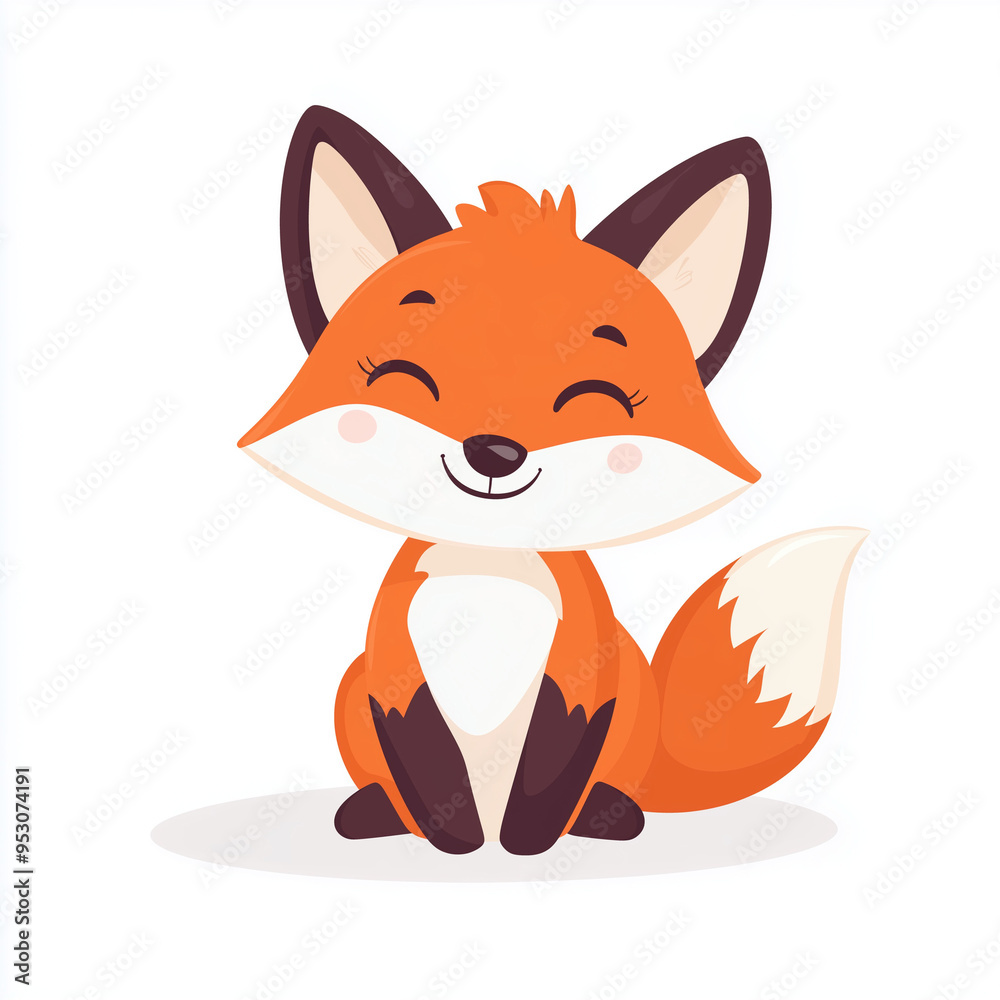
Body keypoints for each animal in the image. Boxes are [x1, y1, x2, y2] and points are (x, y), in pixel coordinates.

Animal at [238, 105, 867, 856]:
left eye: (594, 400)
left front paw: (524, 847)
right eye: (405, 380)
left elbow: (550, 770)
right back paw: (375, 813)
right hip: (349, 691)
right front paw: (459, 844)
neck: (488, 566)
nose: (494, 452)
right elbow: (428, 762)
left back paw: (608, 816)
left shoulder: (582, 674)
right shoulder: (392, 672)